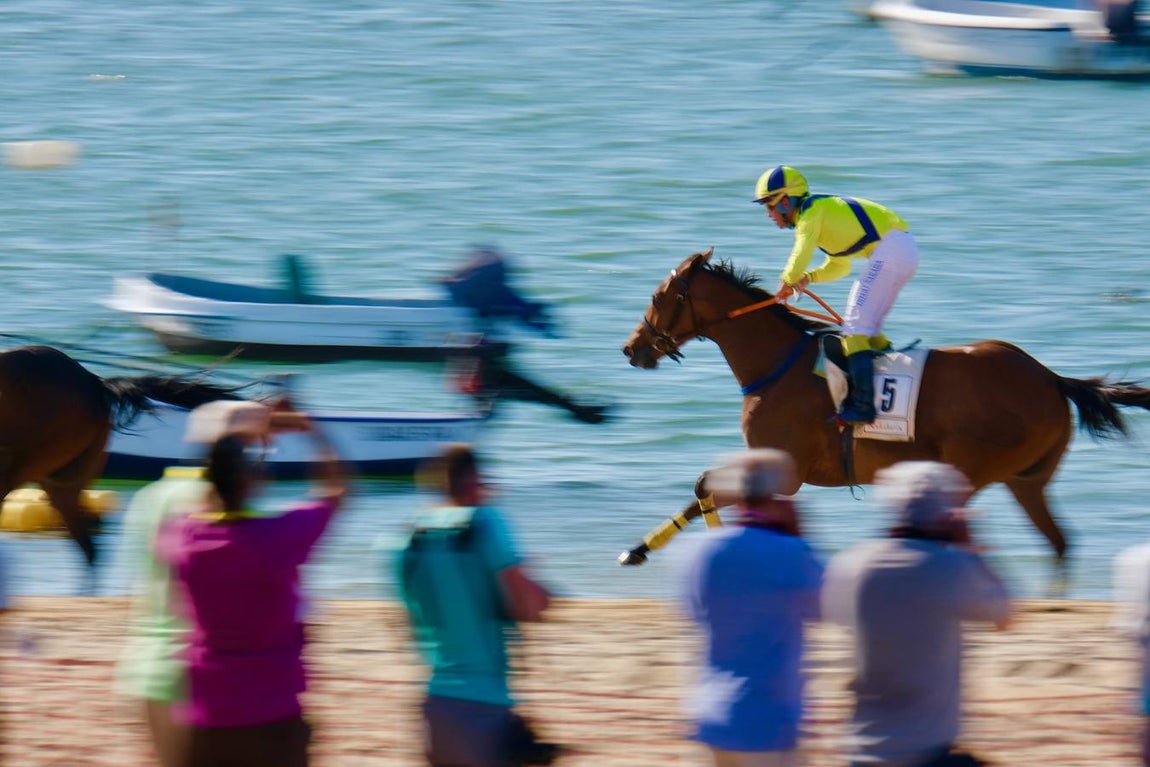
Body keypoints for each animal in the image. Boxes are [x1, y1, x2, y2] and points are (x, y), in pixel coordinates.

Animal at [619, 249, 1150, 565]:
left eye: (657, 297)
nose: (631, 349)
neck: (777, 364)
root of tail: (1051, 377)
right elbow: (701, 489)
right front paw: (640, 549)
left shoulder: (785, 470)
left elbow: (705, 486)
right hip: (1026, 478)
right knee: (1058, 541)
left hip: (971, 467)